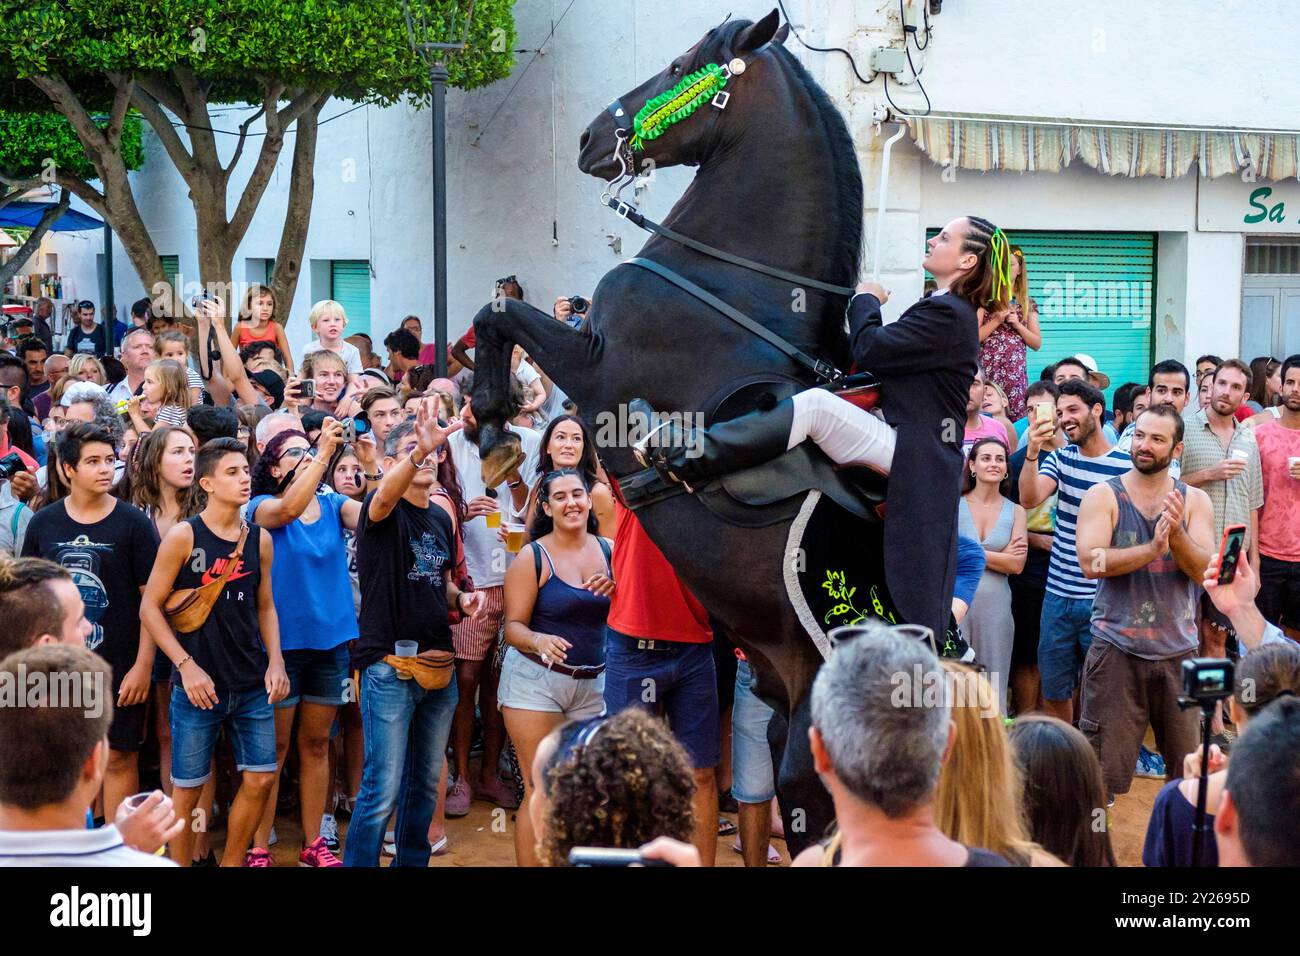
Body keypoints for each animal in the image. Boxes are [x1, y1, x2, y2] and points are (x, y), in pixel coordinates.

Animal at [473, 11, 868, 858]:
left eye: (684, 63)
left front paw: (489, 425)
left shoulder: (596, 367)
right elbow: (497, 312)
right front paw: (493, 432)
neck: (732, 289)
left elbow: (497, 311)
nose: (591, 136)